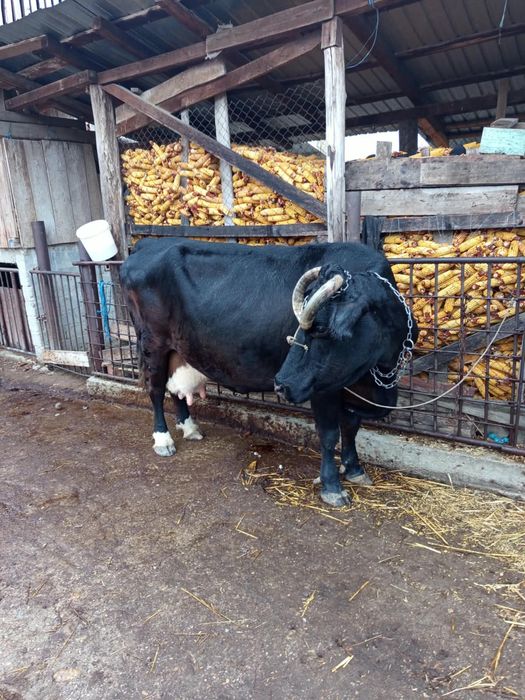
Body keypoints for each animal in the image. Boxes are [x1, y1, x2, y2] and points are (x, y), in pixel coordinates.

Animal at [120, 237, 417, 507]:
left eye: (323, 330)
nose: (282, 384)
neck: (377, 374)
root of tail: (147, 244)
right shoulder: (322, 387)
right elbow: (329, 433)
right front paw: (332, 486)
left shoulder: (349, 384)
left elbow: (351, 426)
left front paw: (354, 469)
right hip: (152, 343)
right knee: (155, 389)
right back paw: (163, 439)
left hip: (177, 348)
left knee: (175, 390)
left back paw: (190, 427)